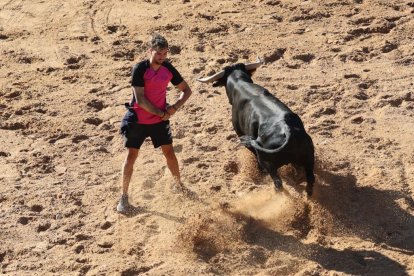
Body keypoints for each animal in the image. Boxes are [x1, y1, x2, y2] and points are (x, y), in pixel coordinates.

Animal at [202, 63, 316, 196]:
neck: (240, 85)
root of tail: (288, 130)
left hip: (269, 165)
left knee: (278, 182)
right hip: (309, 159)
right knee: (310, 179)